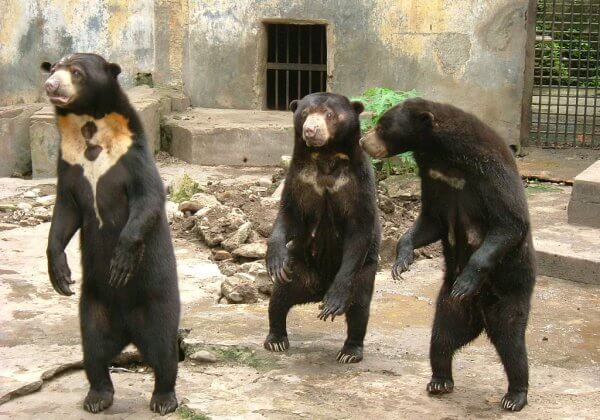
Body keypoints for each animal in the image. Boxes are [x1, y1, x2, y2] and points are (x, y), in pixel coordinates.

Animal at [42, 54, 179, 416]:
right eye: (53, 68)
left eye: (76, 72)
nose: (51, 85)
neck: (89, 127)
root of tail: (129, 332)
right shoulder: (68, 163)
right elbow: (65, 213)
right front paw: (60, 275)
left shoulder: (132, 155)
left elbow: (148, 199)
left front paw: (119, 264)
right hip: (93, 306)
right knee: (93, 350)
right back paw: (97, 396)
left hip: (158, 300)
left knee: (165, 351)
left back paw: (163, 399)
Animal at [266, 93, 380, 362]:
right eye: (305, 113)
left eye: (329, 114)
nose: (310, 130)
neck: (326, 157)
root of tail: (318, 288)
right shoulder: (299, 178)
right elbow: (289, 214)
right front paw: (274, 261)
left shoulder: (358, 183)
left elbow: (360, 230)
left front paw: (334, 303)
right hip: (299, 267)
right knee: (279, 297)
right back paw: (276, 339)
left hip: (365, 272)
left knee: (360, 307)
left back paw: (350, 350)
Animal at [358, 97, 536, 410]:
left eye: (381, 125)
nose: (363, 141)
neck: (443, 154)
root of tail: (480, 319)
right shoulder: (433, 179)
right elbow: (432, 220)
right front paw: (401, 261)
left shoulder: (489, 170)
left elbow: (509, 222)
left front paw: (466, 280)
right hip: (449, 307)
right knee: (441, 338)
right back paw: (440, 380)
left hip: (511, 293)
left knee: (512, 343)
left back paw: (515, 396)